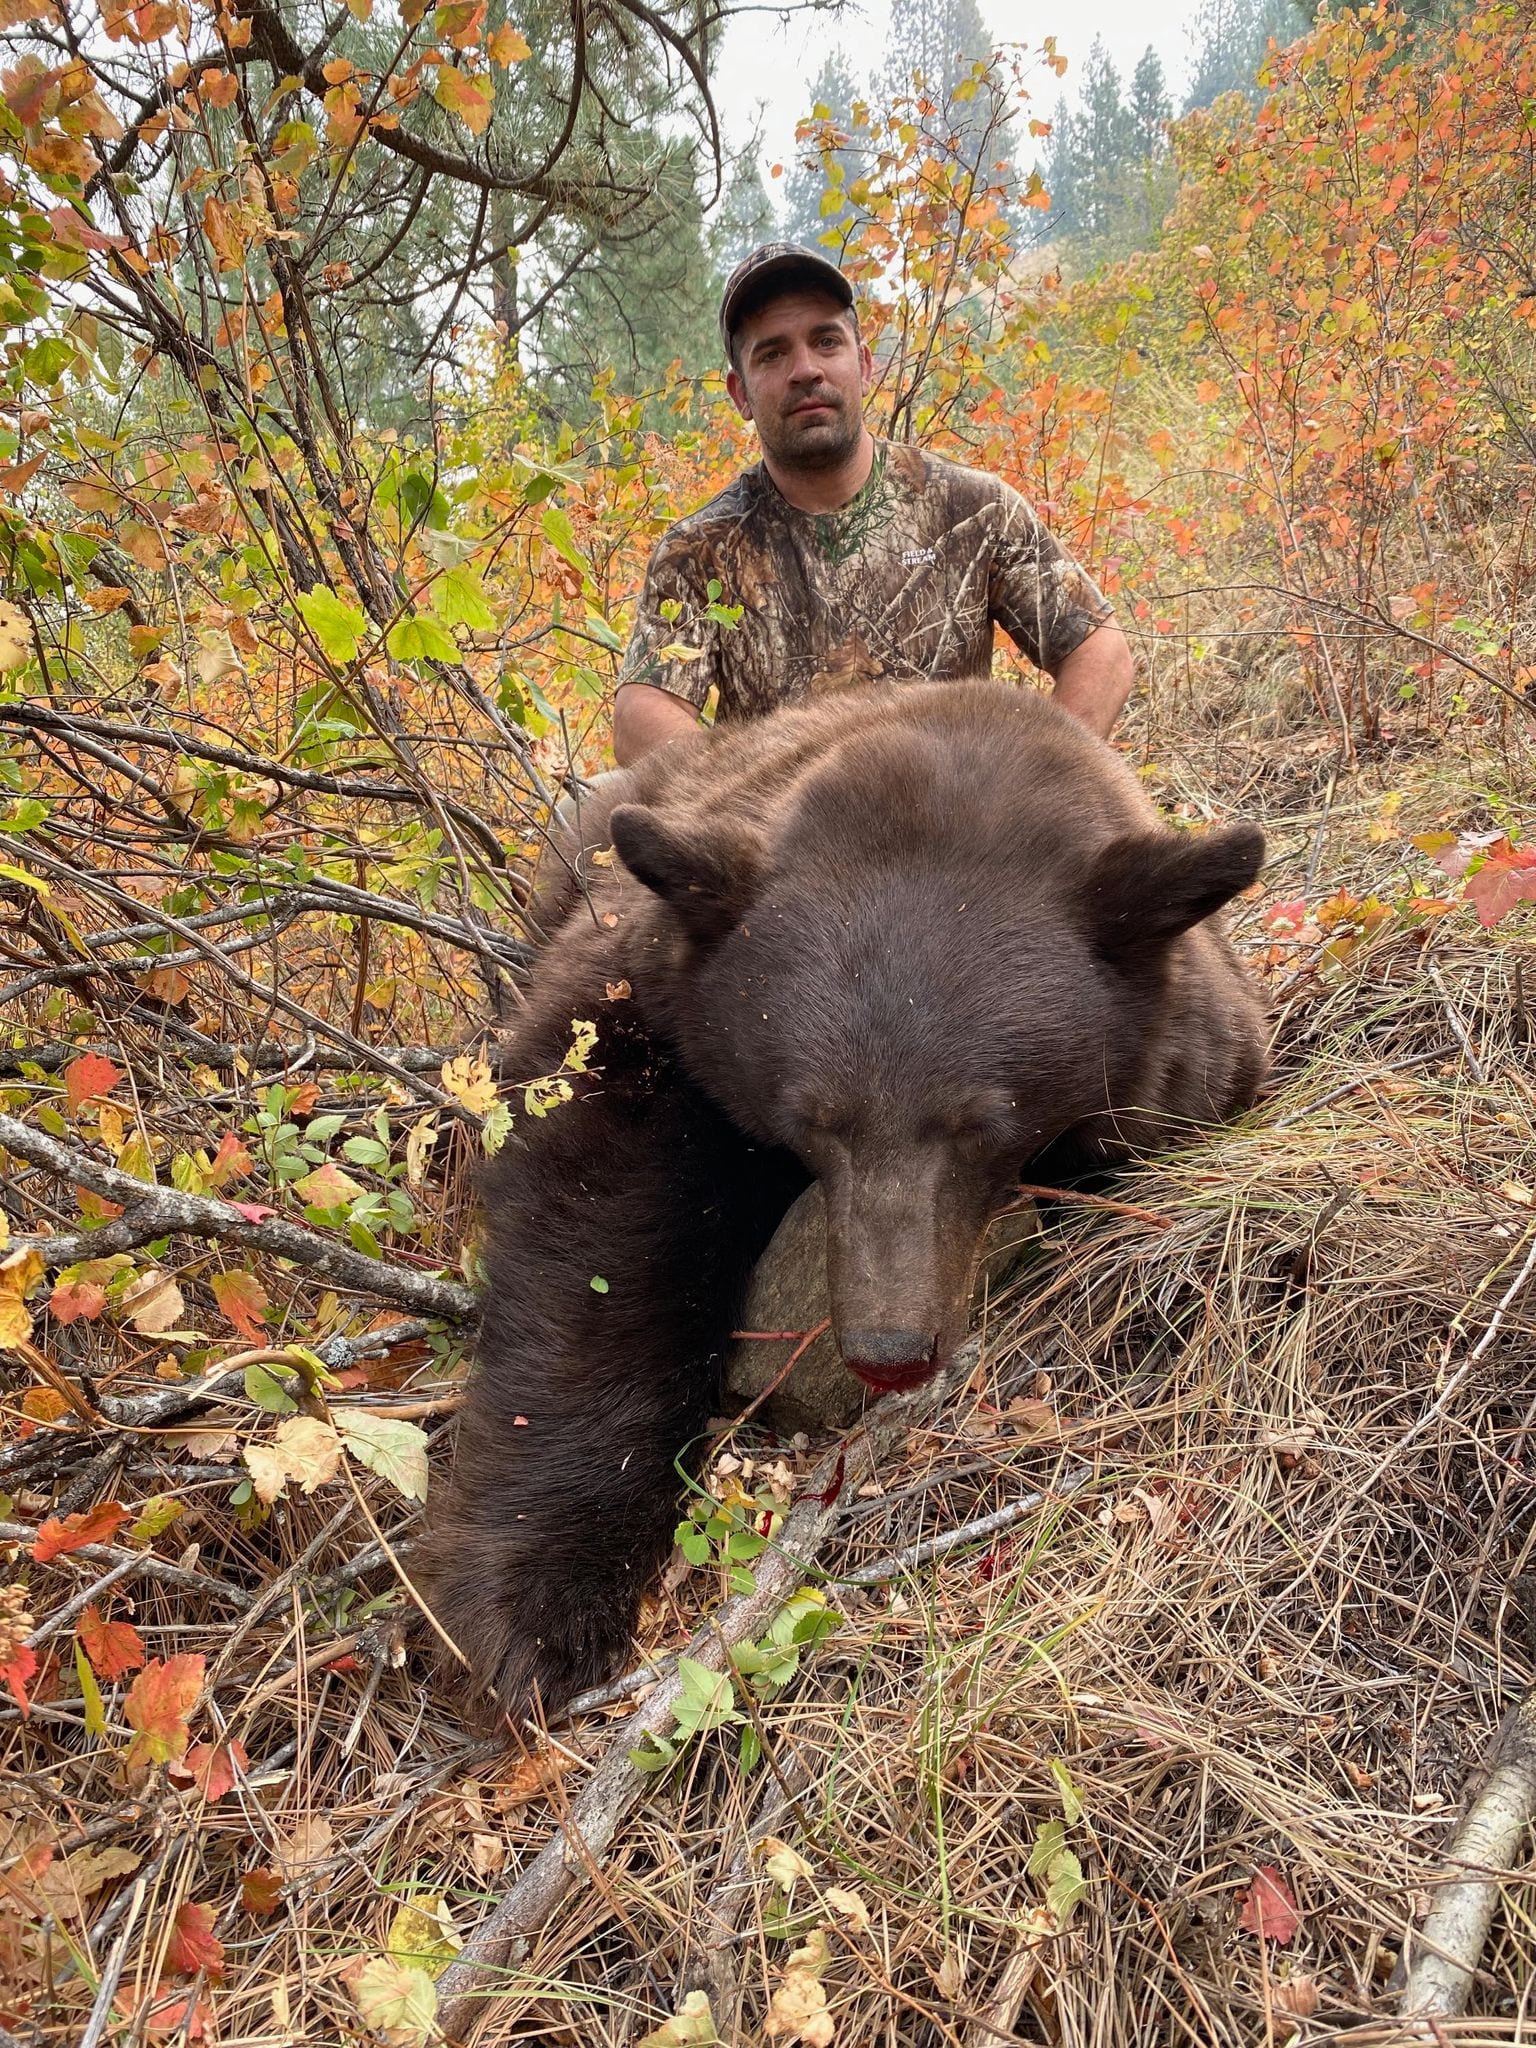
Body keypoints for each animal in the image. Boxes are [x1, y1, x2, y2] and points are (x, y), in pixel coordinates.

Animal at [418, 679, 1268, 1726]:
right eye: (814, 1119)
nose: (889, 1350)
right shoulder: (644, 979)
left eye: (980, 1122)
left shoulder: (1189, 1027)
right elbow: (592, 1199)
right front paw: (530, 1605)